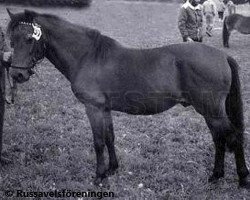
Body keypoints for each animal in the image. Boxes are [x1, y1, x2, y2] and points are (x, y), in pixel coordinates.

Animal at [6, 9, 250, 188]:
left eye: (29, 38)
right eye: (11, 40)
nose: (17, 75)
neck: (88, 56)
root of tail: (223, 56)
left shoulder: (93, 108)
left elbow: (98, 142)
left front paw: (98, 176)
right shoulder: (104, 109)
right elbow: (110, 138)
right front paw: (112, 169)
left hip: (212, 111)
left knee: (233, 137)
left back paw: (242, 178)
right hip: (210, 112)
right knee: (219, 139)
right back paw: (216, 176)